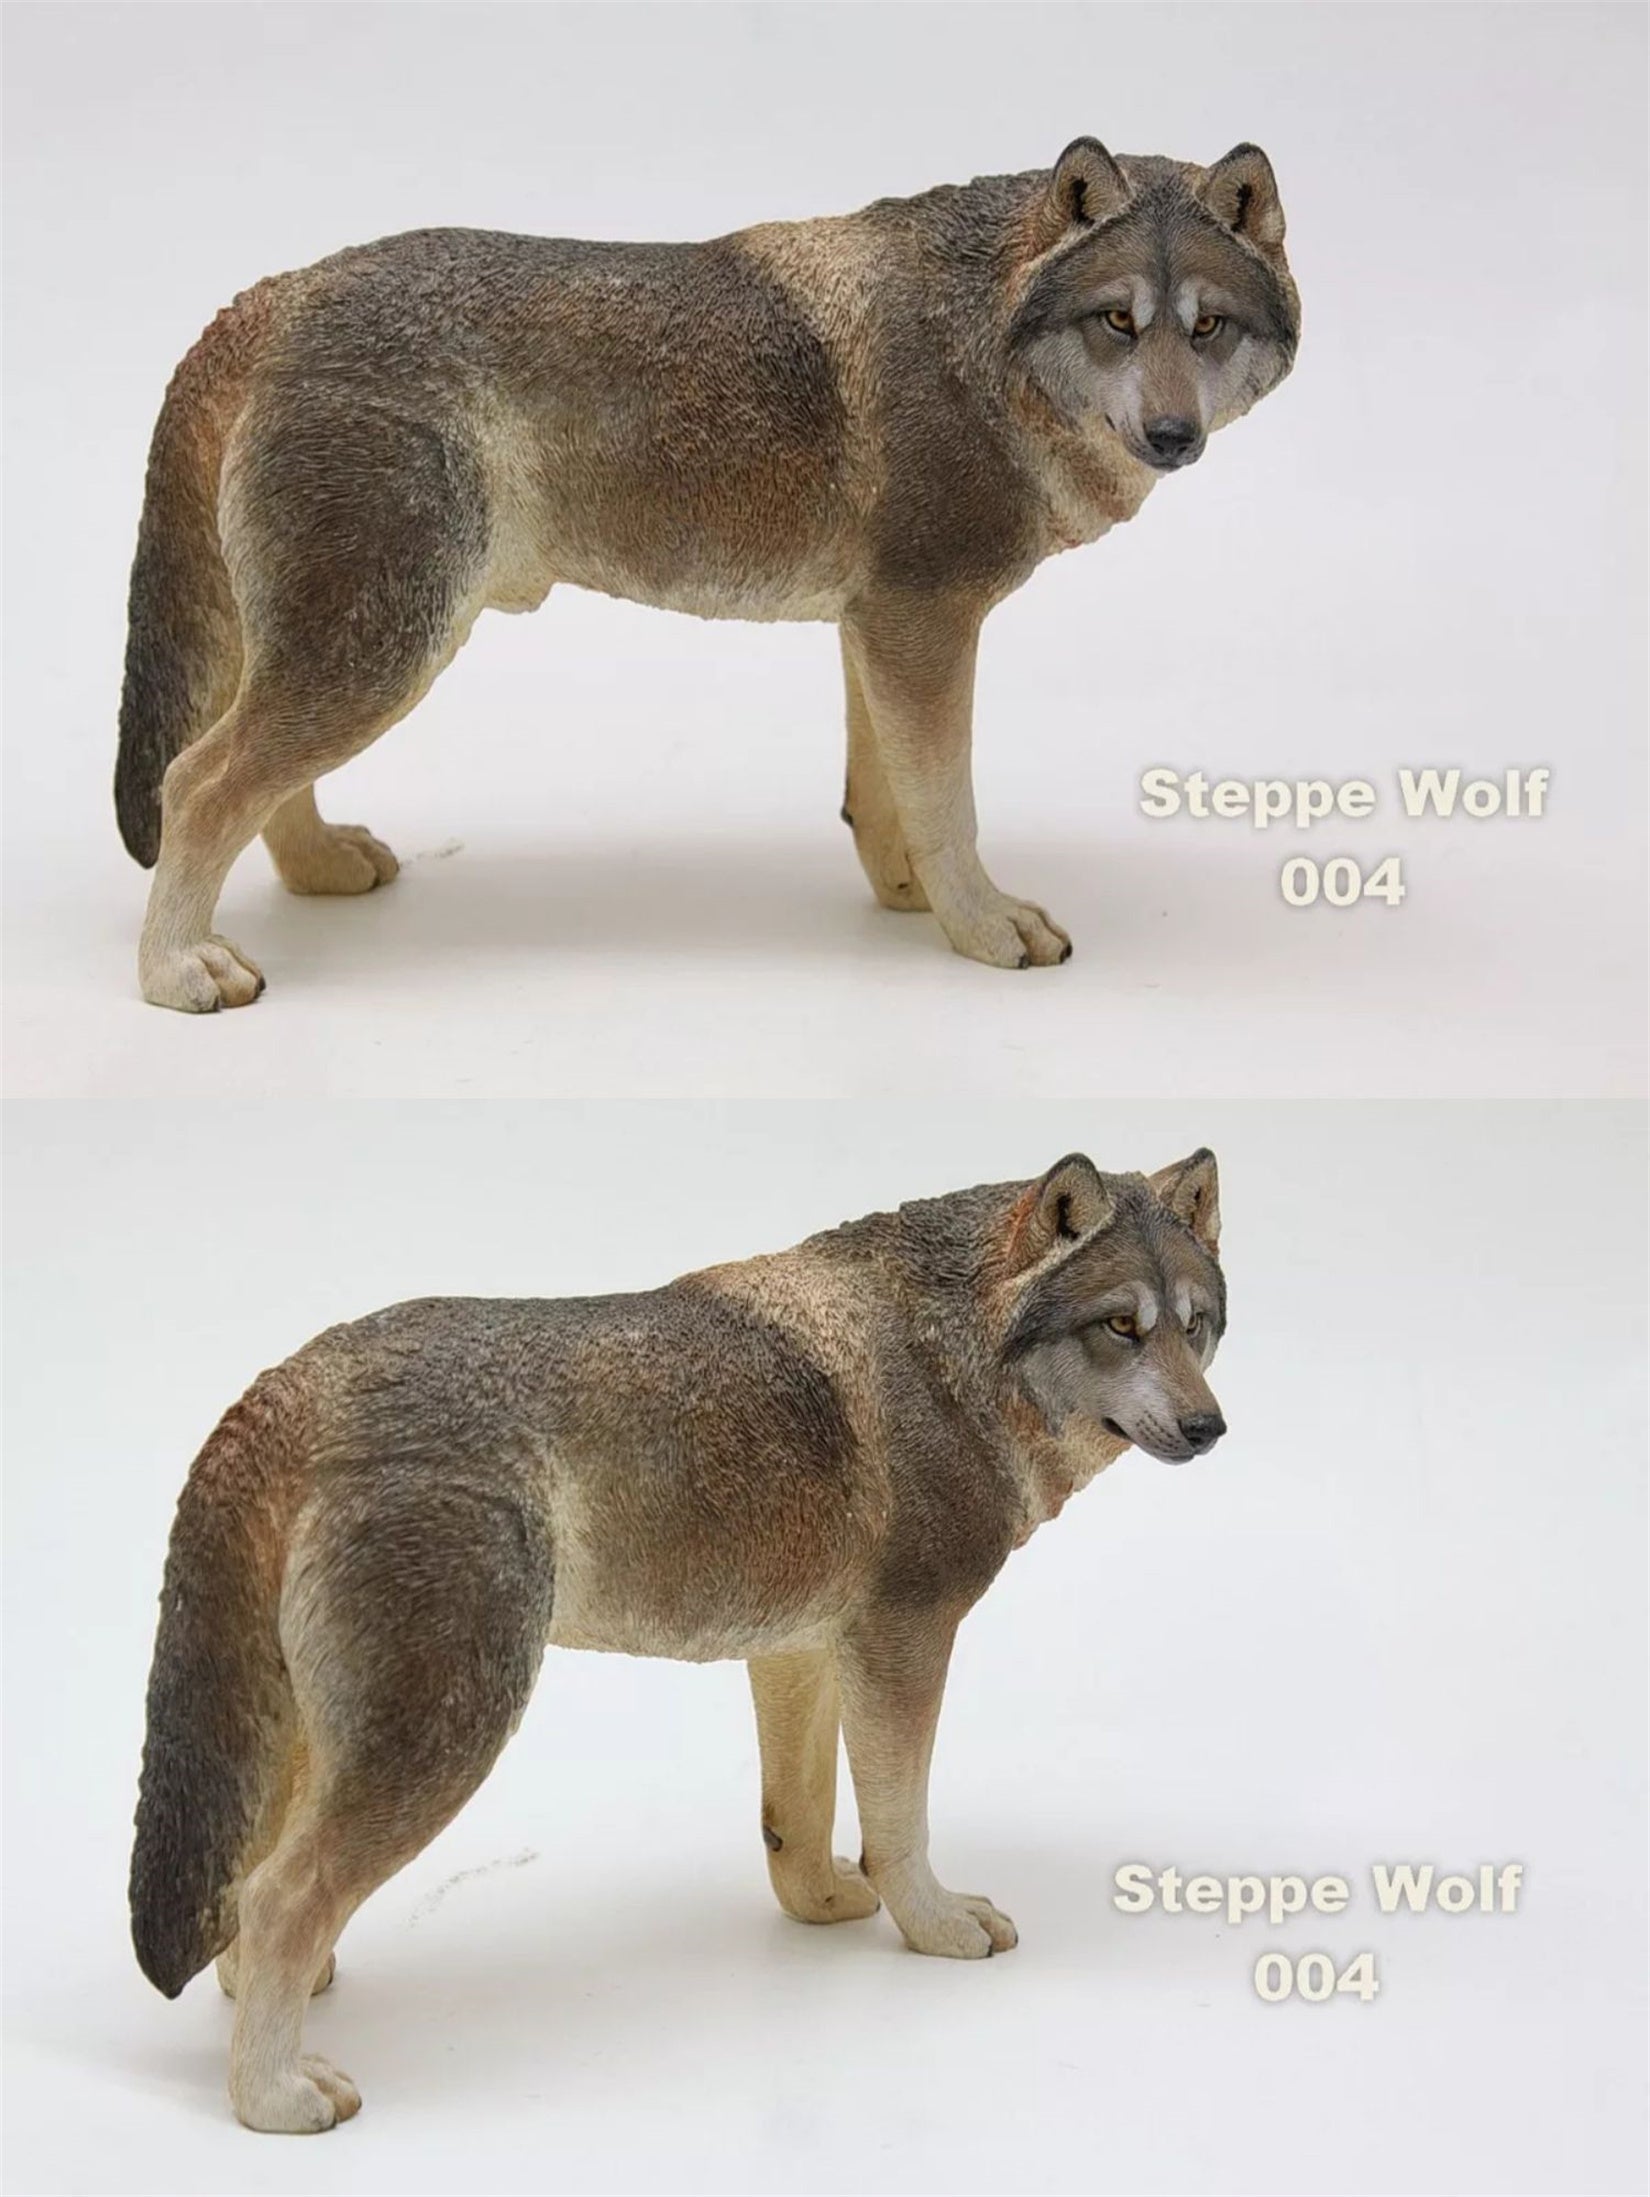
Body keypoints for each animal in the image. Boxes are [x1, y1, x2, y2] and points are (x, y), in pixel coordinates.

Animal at [115, 140, 1297, 1009]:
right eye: (1117, 322)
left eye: (1206, 326)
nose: (1172, 436)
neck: (987, 342)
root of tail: (271, 294)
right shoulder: (925, 621)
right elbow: (948, 803)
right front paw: (981, 925)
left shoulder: (879, 626)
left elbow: (885, 799)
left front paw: (909, 902)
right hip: (380, 649)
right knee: (198, 783)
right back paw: (177, 971)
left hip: (345, 649)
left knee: (257, 782)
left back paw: (322, 868)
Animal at [130, 1148, 1226, 2130]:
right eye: (1120, 1325)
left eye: (1197, 1324)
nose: (1210, 1427)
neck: (955, 1352)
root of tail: (285, 1386)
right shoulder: (905, 1638)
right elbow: (900, 1825)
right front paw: (938, 1924)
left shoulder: (801, 1650)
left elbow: (799, 1821)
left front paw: (824, 1904)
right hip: (443, 1735)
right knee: (278, 1896)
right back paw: (274, 2097)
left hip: (322, 1739)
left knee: (246, 1893)